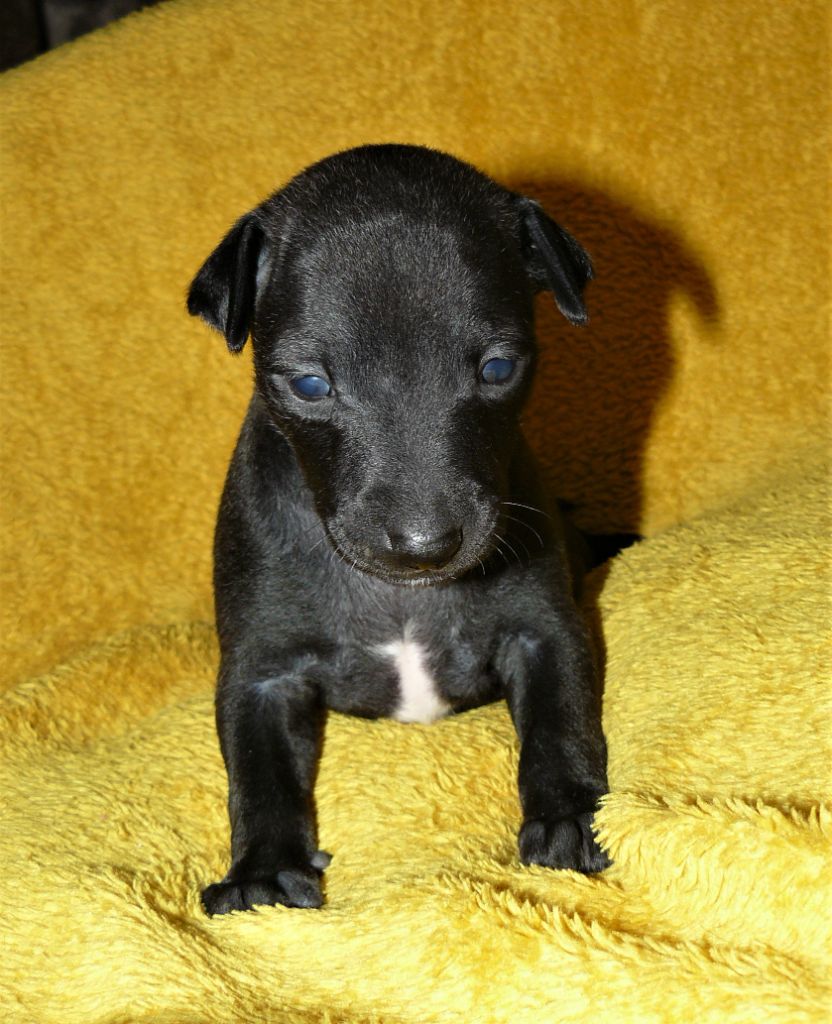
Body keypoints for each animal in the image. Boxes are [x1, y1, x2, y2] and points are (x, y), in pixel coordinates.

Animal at [191, 142, 614, 913]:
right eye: (309, 384)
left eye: (498, 367)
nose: (426, 546)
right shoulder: (261, 667)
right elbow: (259, 769)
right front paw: (263, 871)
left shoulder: (542, 625)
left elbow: (561, 718)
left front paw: (571, 816)